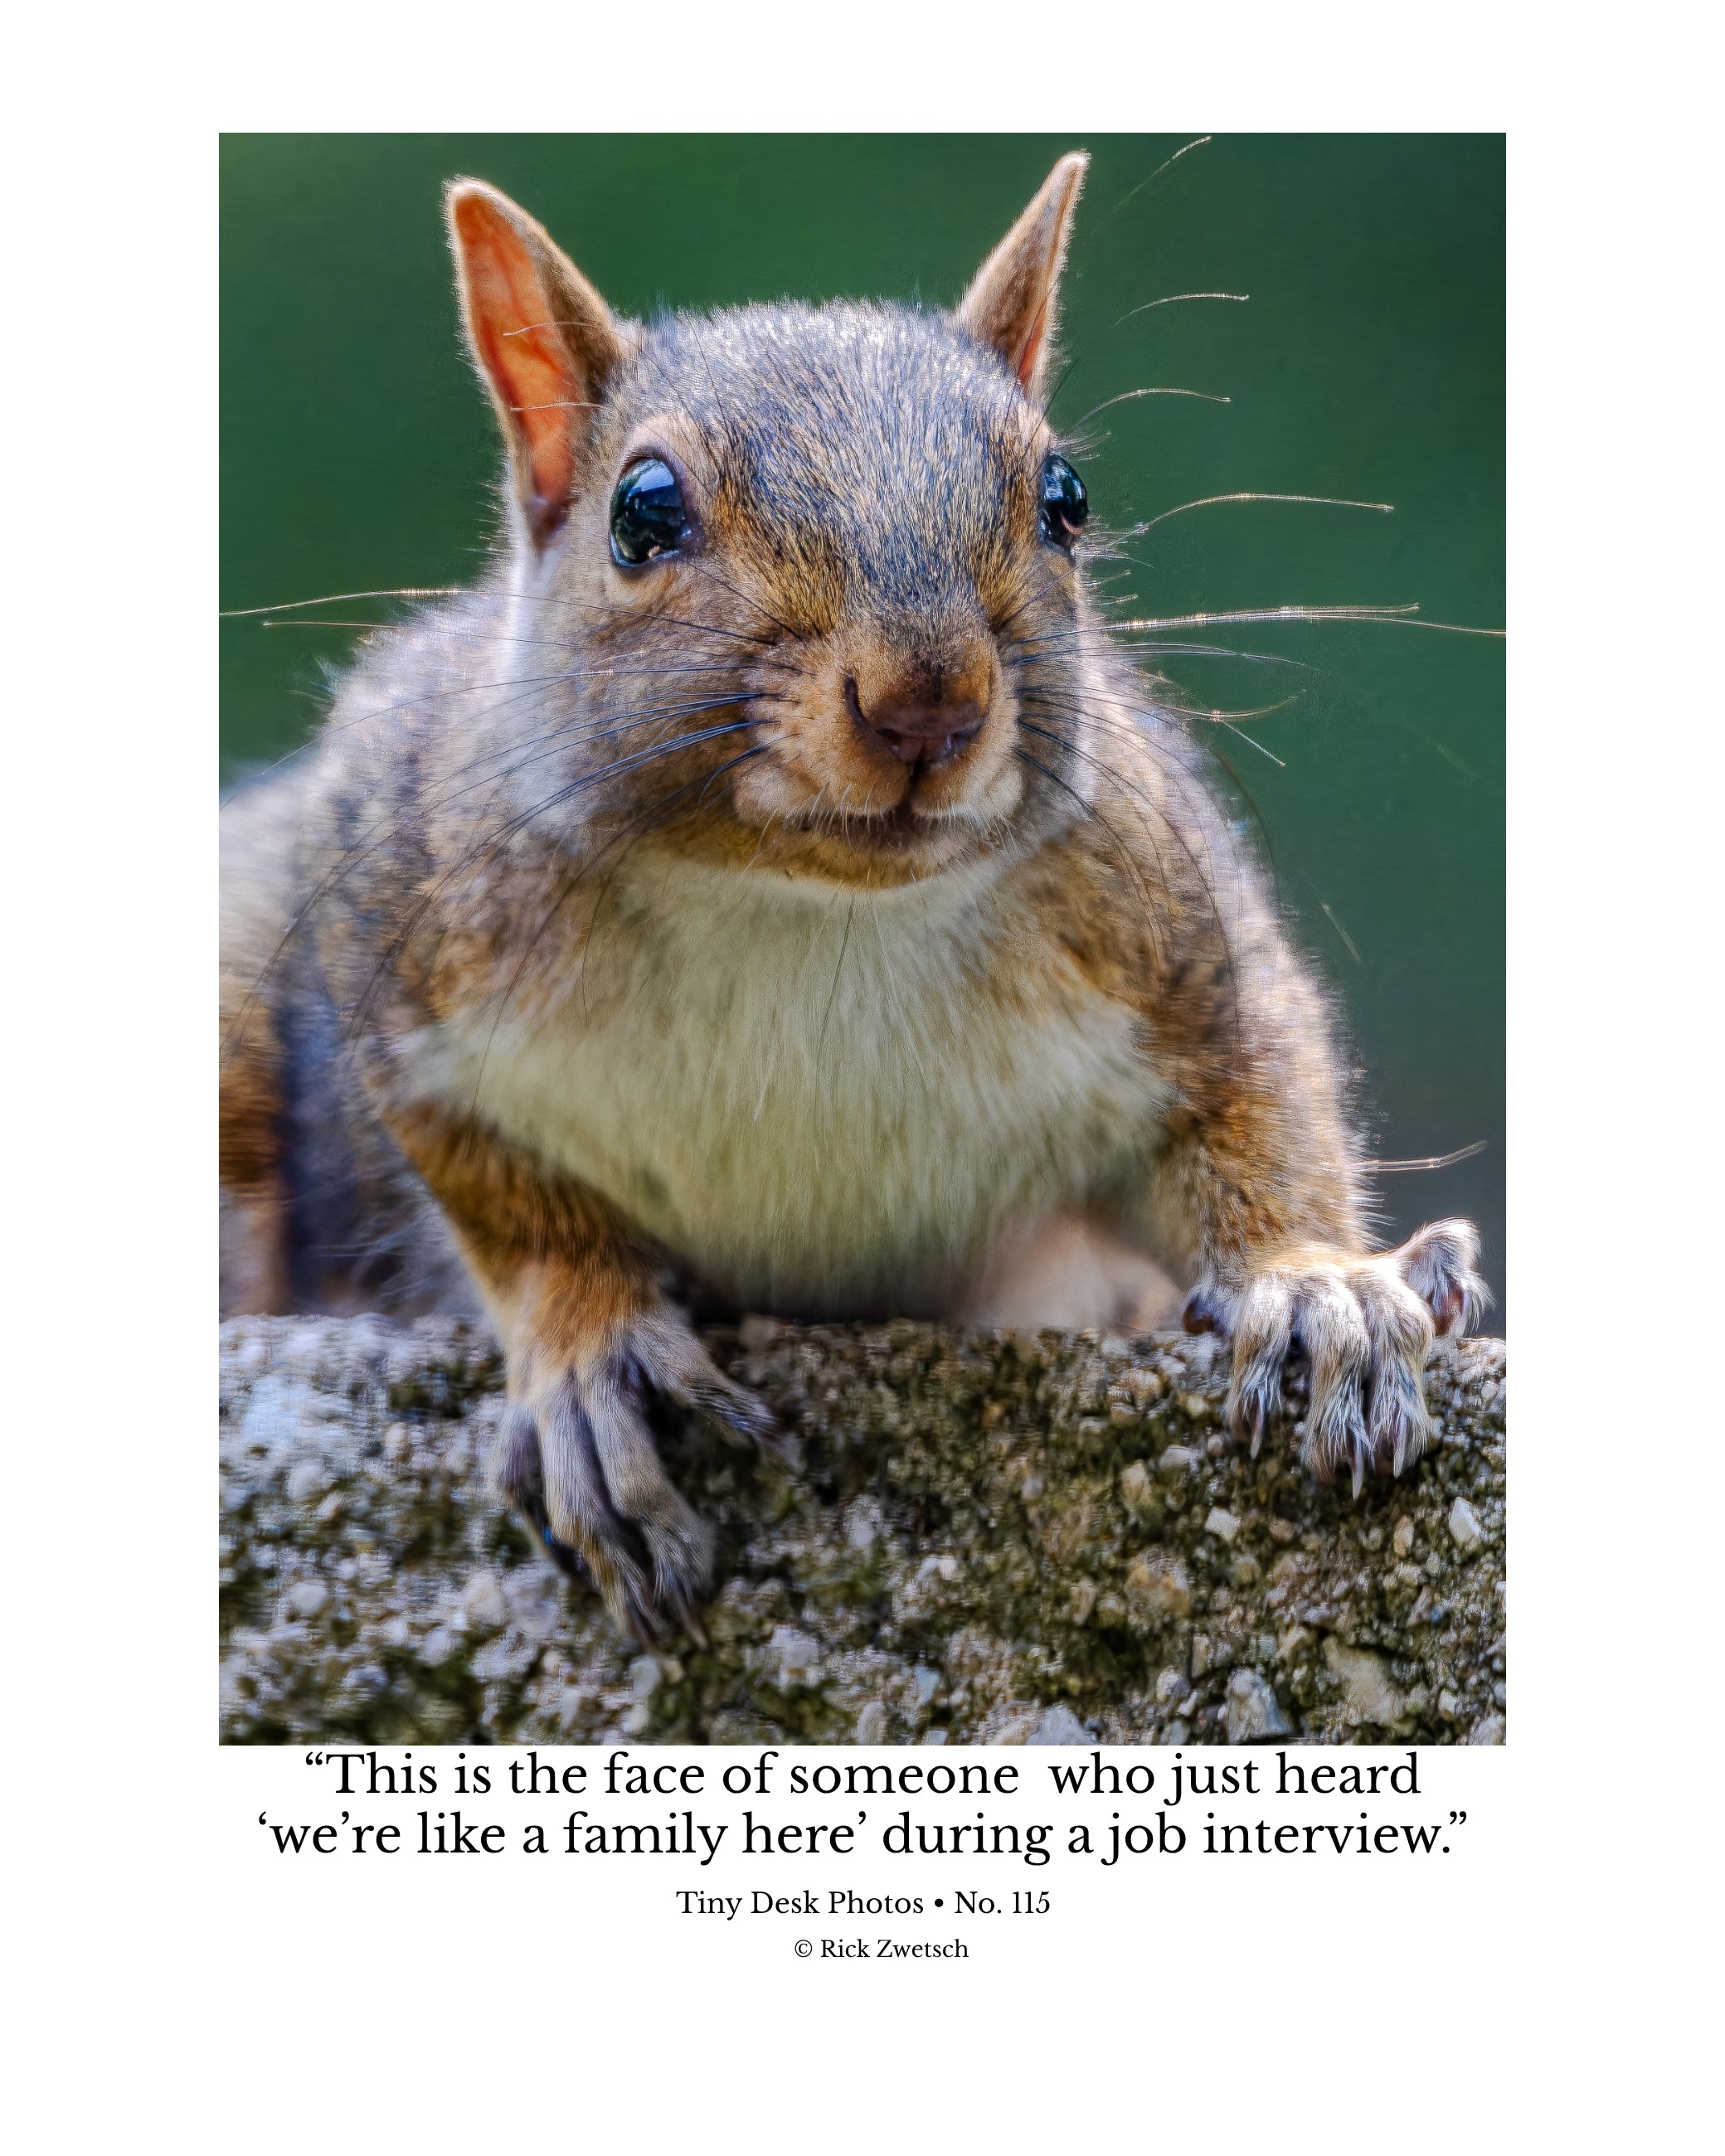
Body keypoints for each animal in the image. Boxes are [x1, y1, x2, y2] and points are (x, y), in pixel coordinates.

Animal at [220, 152, 1486, 1641]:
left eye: (1065, 496)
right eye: (640, 512)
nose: (927, 699)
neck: (804, 910)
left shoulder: (1172, 940)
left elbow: (1260, 1097)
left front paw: (1315, 1283)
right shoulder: (399, 949)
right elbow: (501, 1201)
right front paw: (588, 1353)